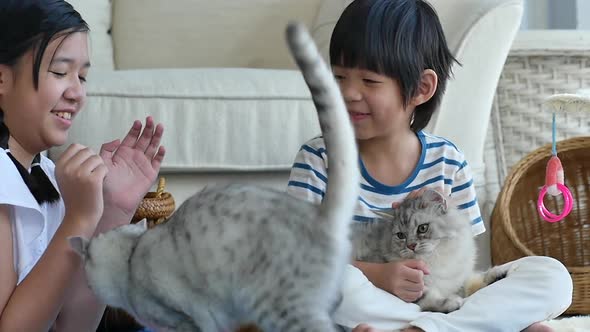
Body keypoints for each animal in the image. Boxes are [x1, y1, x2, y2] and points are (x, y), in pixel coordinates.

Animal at [352, 189, 508, 314]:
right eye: (401, 235)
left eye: (422, 228)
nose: (411, 245)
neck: (436, 260)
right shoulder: (415, 289)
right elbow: (429, 299)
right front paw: (450, 302)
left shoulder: (459, 279)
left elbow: (475, 281)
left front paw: (497, 274)